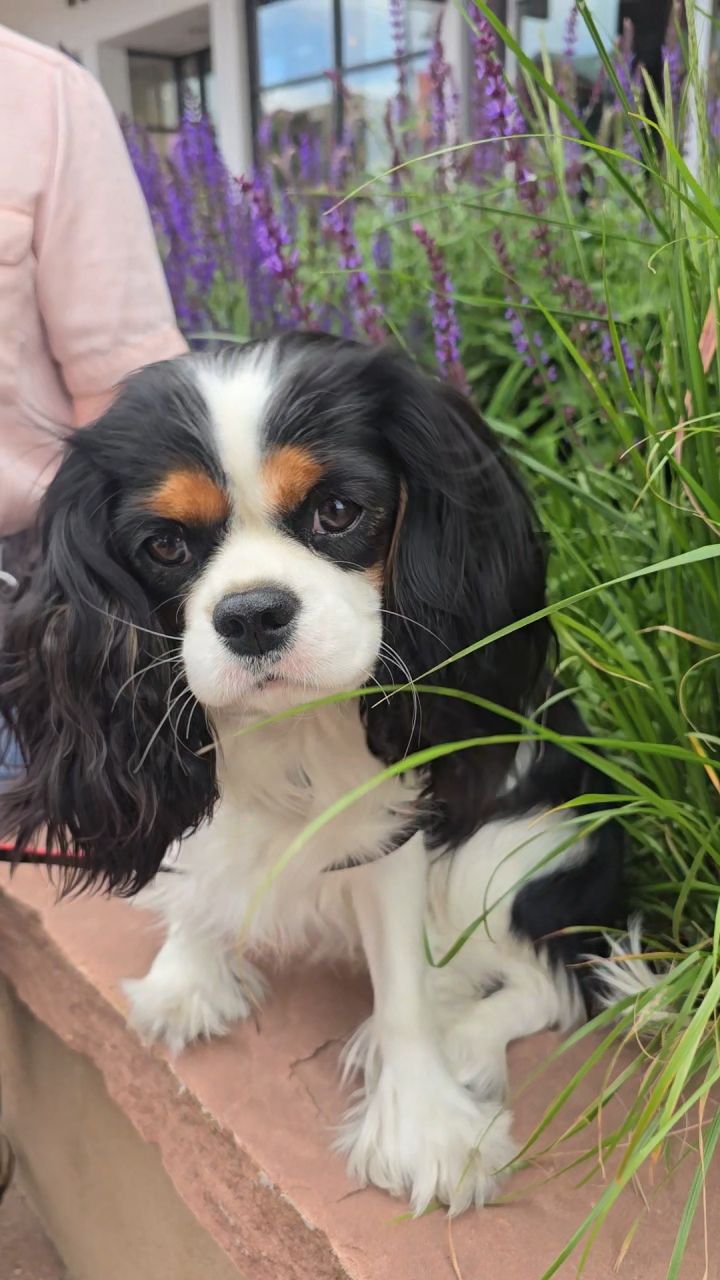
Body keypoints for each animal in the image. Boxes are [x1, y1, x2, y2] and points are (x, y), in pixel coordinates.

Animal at [0, 334, 625, 1213]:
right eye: (164, 545)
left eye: (336, 512)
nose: (251, 612)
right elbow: (197, 870)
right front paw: (187, 975)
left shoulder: (398, 825)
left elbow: (402, 983)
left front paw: (428, 1128)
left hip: (506, 853)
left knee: (547, 981)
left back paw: (463, 1033)